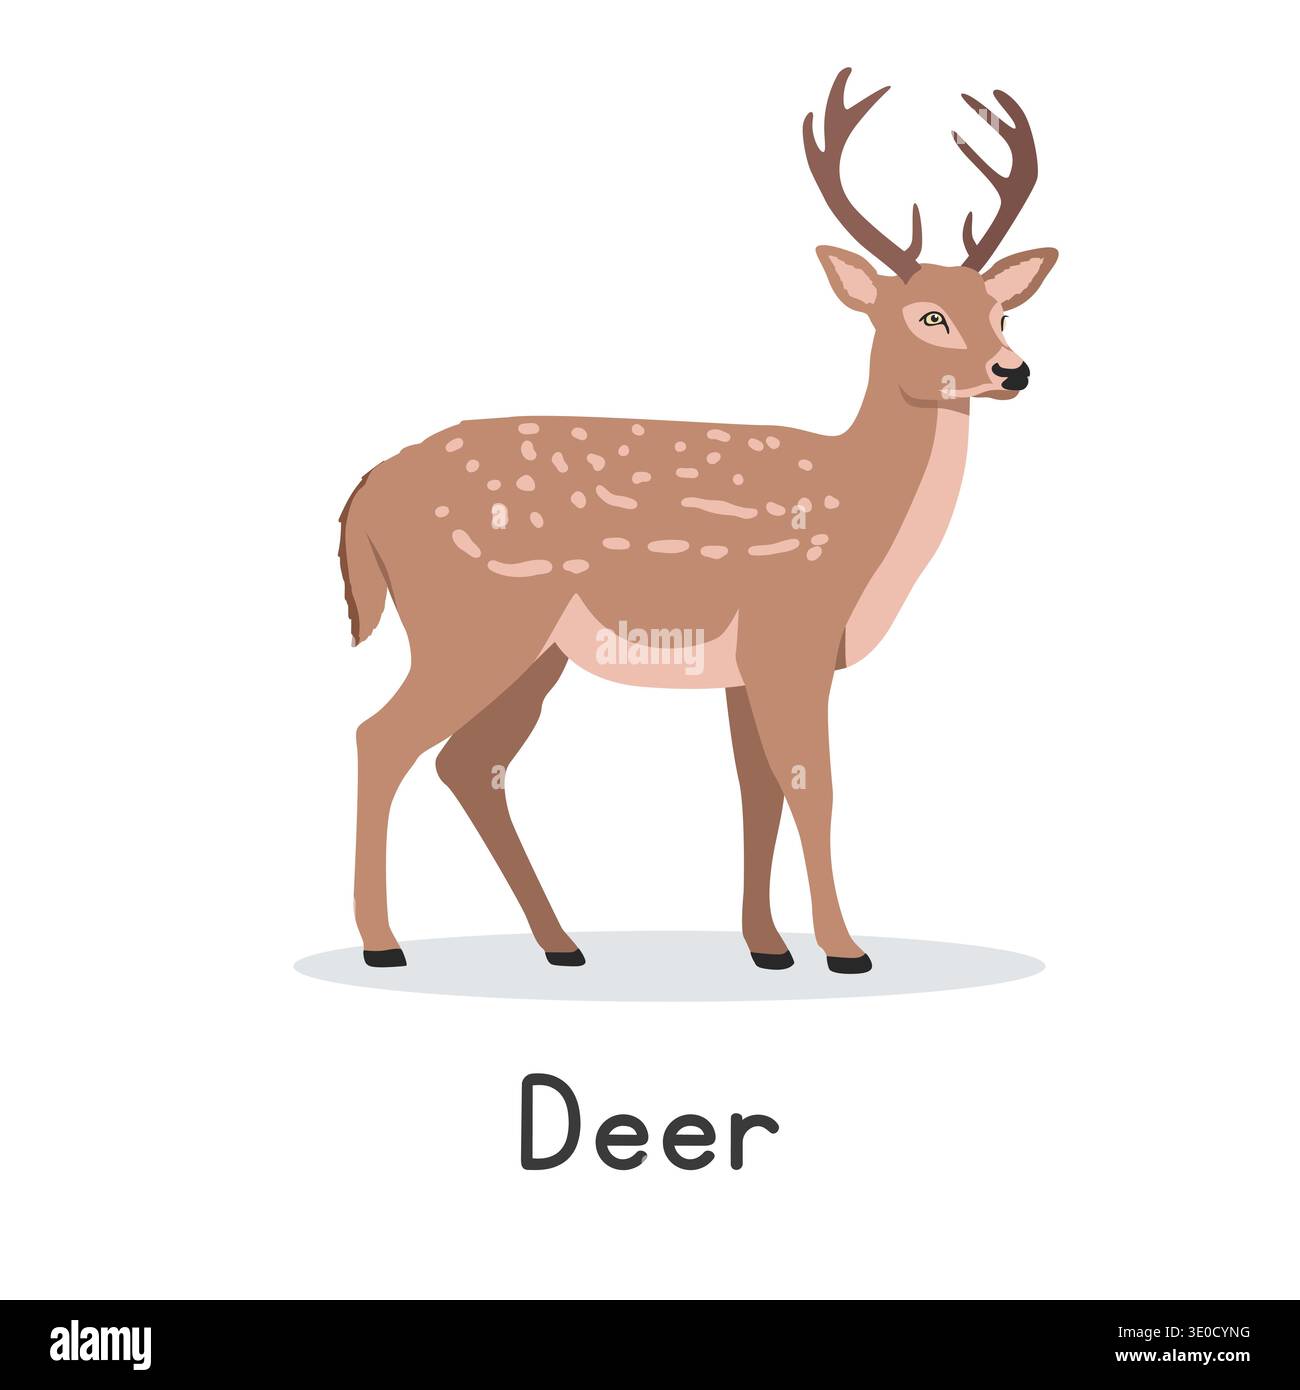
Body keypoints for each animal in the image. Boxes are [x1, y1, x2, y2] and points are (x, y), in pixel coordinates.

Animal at [338, 71, 1057, 974]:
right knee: (382, 738)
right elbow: (811, 783)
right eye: (927, 314)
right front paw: (844, 949)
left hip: (532, 647)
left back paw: (561, 943)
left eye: (1004, 312)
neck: (858, 519)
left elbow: (758, 792)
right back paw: (384, 944)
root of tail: (366, 490)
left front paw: (769, 947)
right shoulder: (792, 634)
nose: (1014, 370)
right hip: (475, 619)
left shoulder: (747, 666)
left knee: (472, 762)